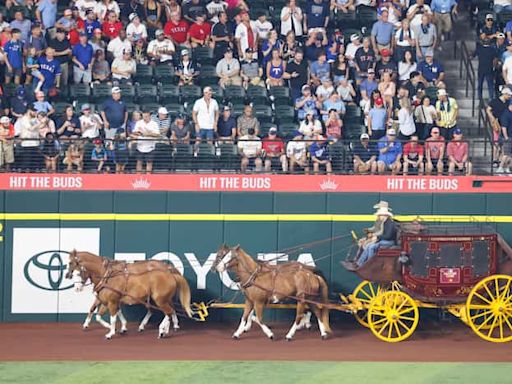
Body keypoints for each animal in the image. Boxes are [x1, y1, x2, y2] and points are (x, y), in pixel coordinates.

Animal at [66, 252, 194, 340]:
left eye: (78, 272)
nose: (77, 288)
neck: (107, 276)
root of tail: (169, 272)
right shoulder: (107, 301)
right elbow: (98, 315)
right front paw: (116, 327)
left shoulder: (112, 302)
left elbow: (113, 317)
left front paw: (111, 332)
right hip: (157, 299)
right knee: (167, 310)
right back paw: (166, 327)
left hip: (159, 300)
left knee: (168, 311)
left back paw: (163, 330)